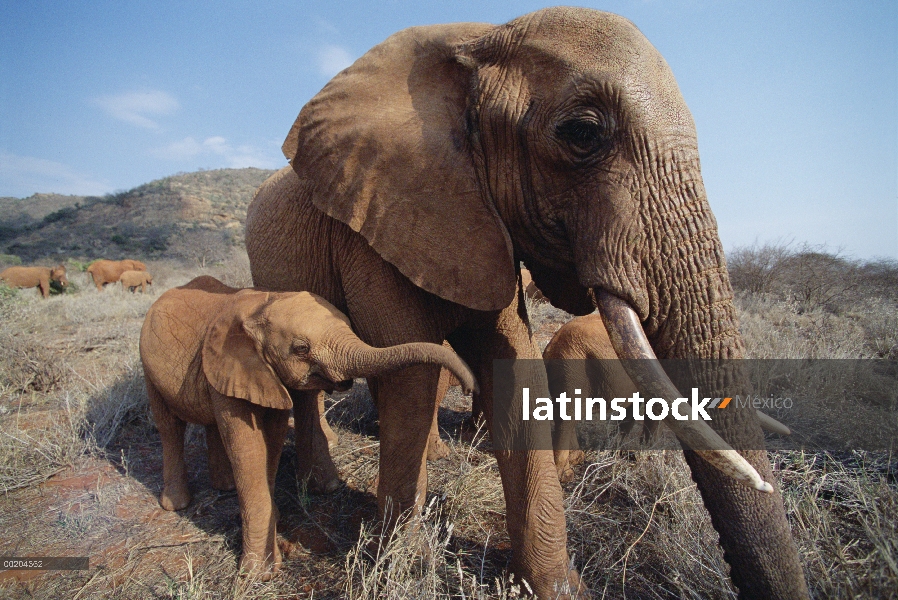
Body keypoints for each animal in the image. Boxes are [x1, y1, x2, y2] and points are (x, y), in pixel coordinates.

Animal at [140, 276, 476, 576]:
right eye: (301, 349)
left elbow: (272, 439)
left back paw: (224, 486)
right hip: (148, 369)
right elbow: (248, 447)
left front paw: (272, 536)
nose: (470, 386)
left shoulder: (261, 375)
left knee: (209, 424)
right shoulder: (233, 365)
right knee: (169, 427)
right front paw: (258, 574)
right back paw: (177, 505)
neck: (262, 304)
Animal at [248, 7, 808, 596]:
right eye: (582, 133)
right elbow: (412, 377)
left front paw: (556, 587)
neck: (479, 38)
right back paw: (326, 486)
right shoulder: (373, 223)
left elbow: (513, 366)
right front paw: (395, 560)